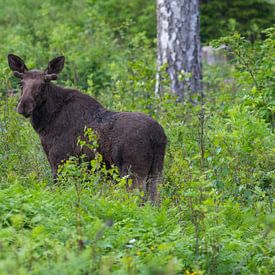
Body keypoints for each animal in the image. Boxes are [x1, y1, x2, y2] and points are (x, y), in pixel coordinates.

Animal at [8, 54, 168, 202]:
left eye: (42, 85)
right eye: (21, 83)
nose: (24, 106)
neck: (45, 124)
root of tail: (158, 137)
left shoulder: (59, 162)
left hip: (133, 172)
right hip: (156, 172)